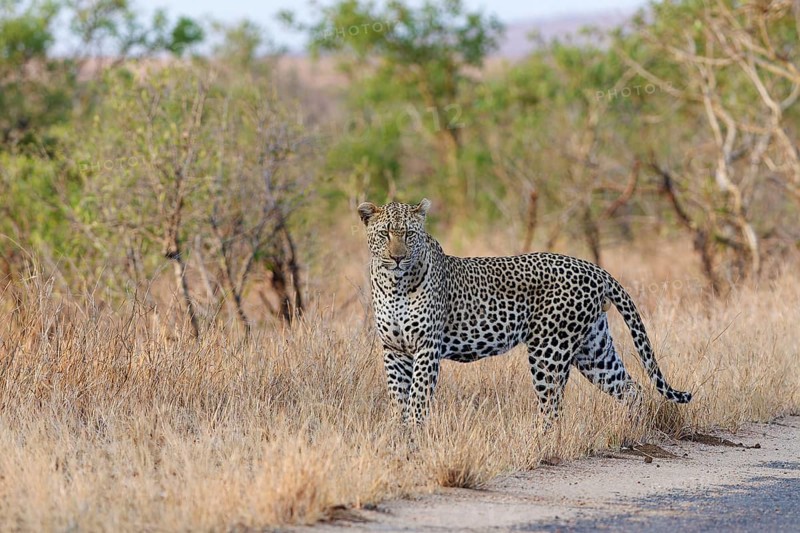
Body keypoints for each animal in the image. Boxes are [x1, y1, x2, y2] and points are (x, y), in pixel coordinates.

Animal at [357, 198, 692, 426]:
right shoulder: (393, 349)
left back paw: (541, 443)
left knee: (552, 408)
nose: (397, 258)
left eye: (409, 235)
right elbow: (398, 398)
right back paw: (632, 428)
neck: (395, 284)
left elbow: (417, 398)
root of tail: (594, 268)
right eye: (385, 234)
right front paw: (399, 435)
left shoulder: (427, 347)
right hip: (594, 350)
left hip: (549, 350)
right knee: (632, 389)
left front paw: (414, 436)